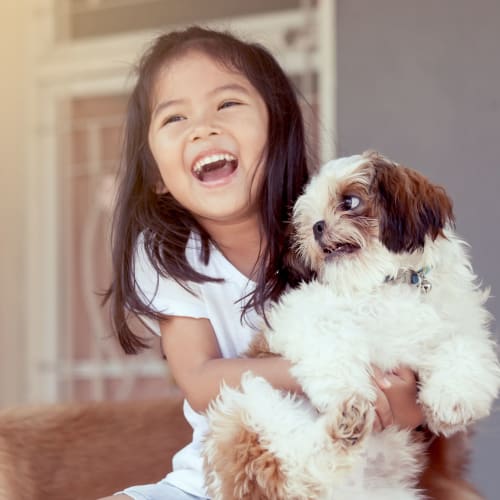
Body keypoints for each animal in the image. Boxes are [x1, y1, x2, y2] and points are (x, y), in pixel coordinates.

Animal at [201, 151, 498, 500]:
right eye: (308, 218)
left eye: (350, 202)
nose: (316, 226)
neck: (388, 283)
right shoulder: (301, 314)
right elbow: (331, 341)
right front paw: (345, 388)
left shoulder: (461, 324)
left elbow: (464, 349)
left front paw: (453, 400)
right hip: (246, 405)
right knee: (296, 467)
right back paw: (347, 419)